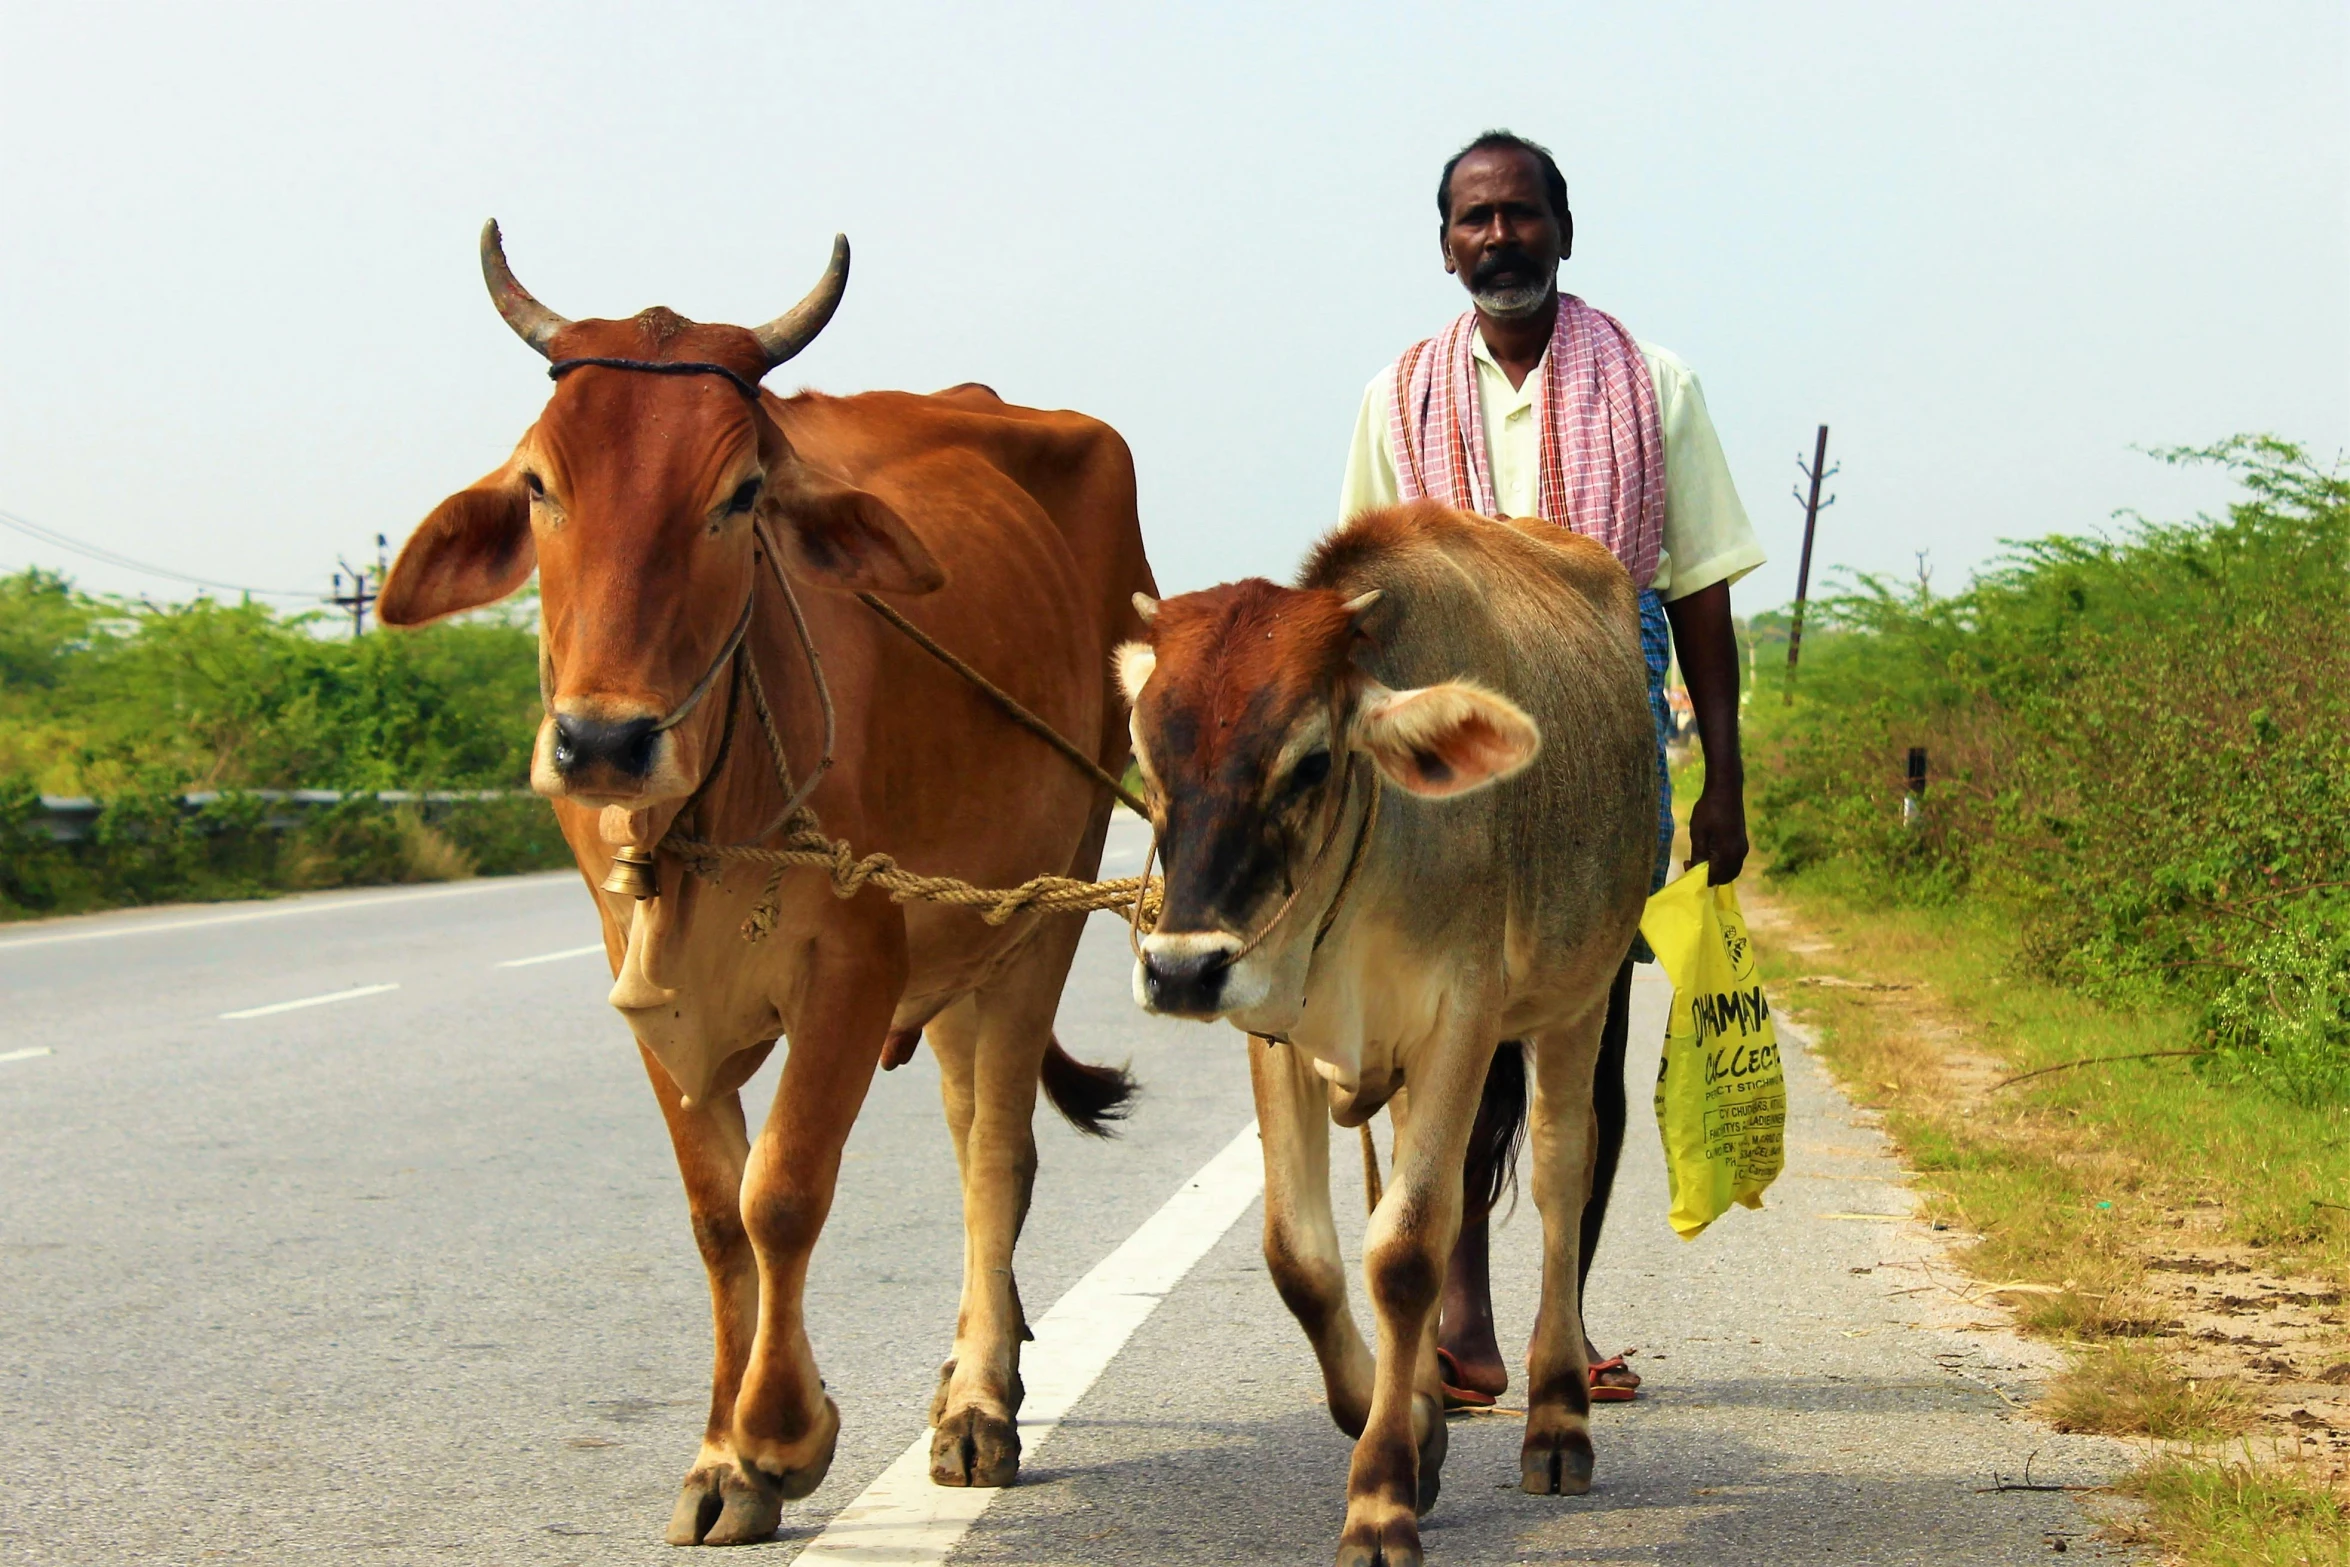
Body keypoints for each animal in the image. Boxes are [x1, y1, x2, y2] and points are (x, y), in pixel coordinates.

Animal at [376, 226, 1156, 1550]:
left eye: (739, 493)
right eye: (537, 484)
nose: (600, 741)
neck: (698, 814)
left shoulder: (854, 965)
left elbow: (780, 1193)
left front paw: (782, 1435)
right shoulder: (644, 985)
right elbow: (712, 1211)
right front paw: (719, 1458)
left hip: (1037, 912)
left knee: (996, 1154)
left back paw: (980, 1403)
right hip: (958, 943)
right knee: (966, 1132)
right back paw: (973, 1371)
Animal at [1118, 505, 1654, 1567]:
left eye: (1311, 760)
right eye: (1149, 762)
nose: (1181, 969)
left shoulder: (1463, 1018)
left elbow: (1405, 1251)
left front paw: (1379, 1497)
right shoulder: (1274, 1030)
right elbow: (1303, 1256)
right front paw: (1405, 1422)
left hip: (1582, 996)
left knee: (1562, 1181)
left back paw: (1559, 1420)